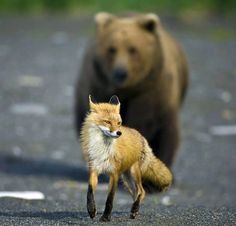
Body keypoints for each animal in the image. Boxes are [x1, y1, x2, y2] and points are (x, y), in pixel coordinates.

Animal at [74, 11, 189, 168]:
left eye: (132, 49)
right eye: (112, 49)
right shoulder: (98, 88)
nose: (120, 73)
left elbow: (164, 135)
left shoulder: (154, 95)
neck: (127, 91)